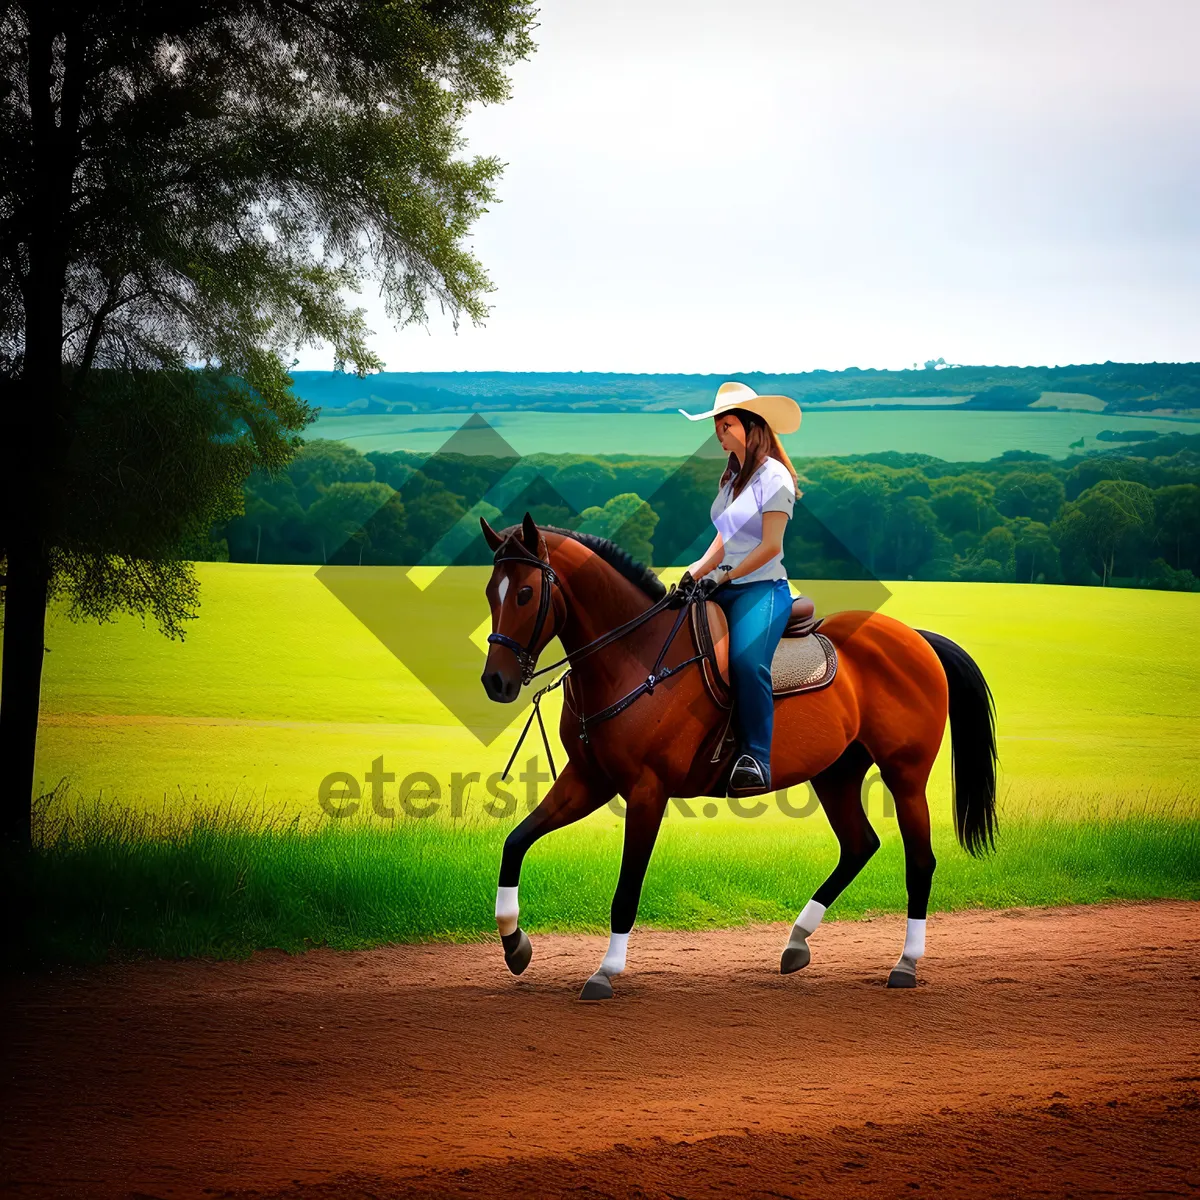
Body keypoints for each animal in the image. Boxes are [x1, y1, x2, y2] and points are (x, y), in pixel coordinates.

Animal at [477, 511, 993, 998]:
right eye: (489, 593)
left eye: (525, 593)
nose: (495, 681)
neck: (633, 656)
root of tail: (916, 637)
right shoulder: (588, 779)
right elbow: (515, 842)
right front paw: (514, 943)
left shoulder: (646, 791)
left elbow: (626, 889)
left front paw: (605, 971)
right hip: (835, 773)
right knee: (859, 844)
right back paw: (797, 941)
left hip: (905, 775)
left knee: (919, 861)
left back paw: (905, 963)